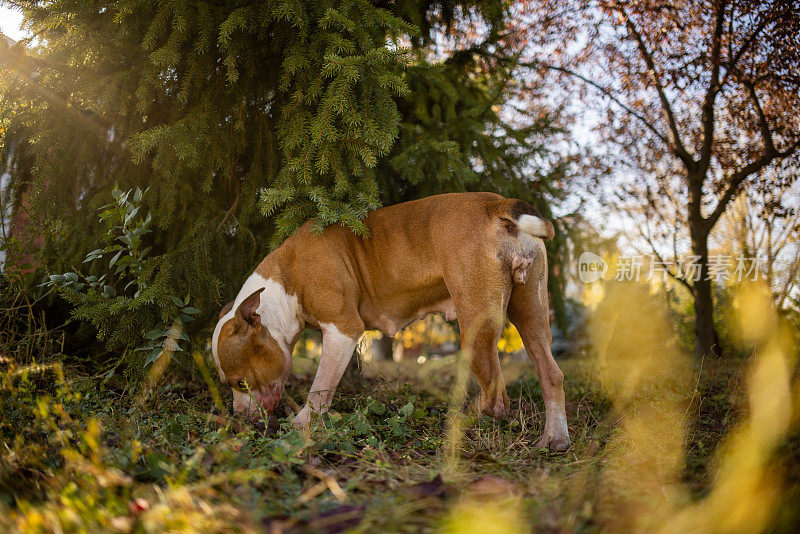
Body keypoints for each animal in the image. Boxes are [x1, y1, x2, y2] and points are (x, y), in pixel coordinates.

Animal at [211, 193, 568, 452]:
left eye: (240, 382)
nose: (239, 416)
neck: (284, 286)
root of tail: (496, 204)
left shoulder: (342, 330)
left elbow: (320, 388)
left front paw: (301, 426)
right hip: (532, 314)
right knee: (550, 372)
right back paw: (555, 438)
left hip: (476, 328)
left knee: (496, 397)